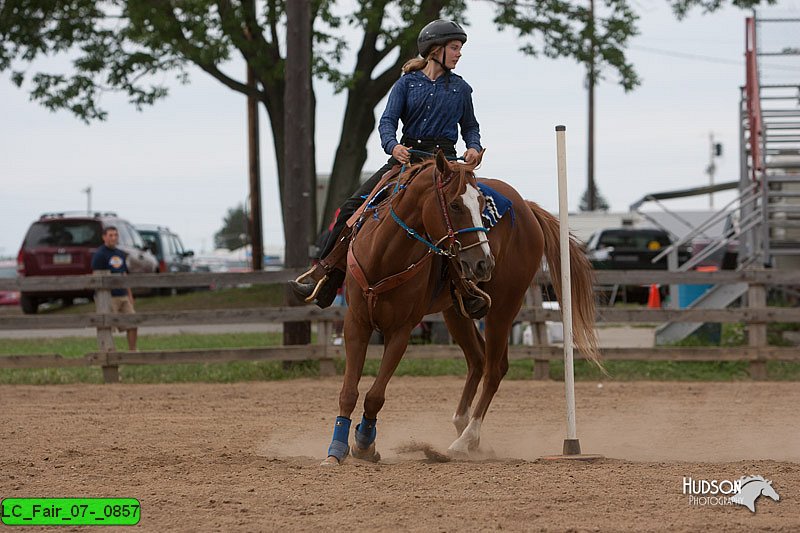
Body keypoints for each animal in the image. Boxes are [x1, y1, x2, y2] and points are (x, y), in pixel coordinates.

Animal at [322, 148, 596, 464]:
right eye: (454, 205)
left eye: (482, 204)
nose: (484, 262)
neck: (384, 257)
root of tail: (527, 209)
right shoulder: (356, 323)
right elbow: (348, 391)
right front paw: (336, 450)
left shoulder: (401, 331)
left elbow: (375, 395)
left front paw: (365, 443)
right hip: (456, 311)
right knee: (477, 359)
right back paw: (463, 430)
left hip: (504, 307)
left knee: (494, 368)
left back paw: (464, 440)